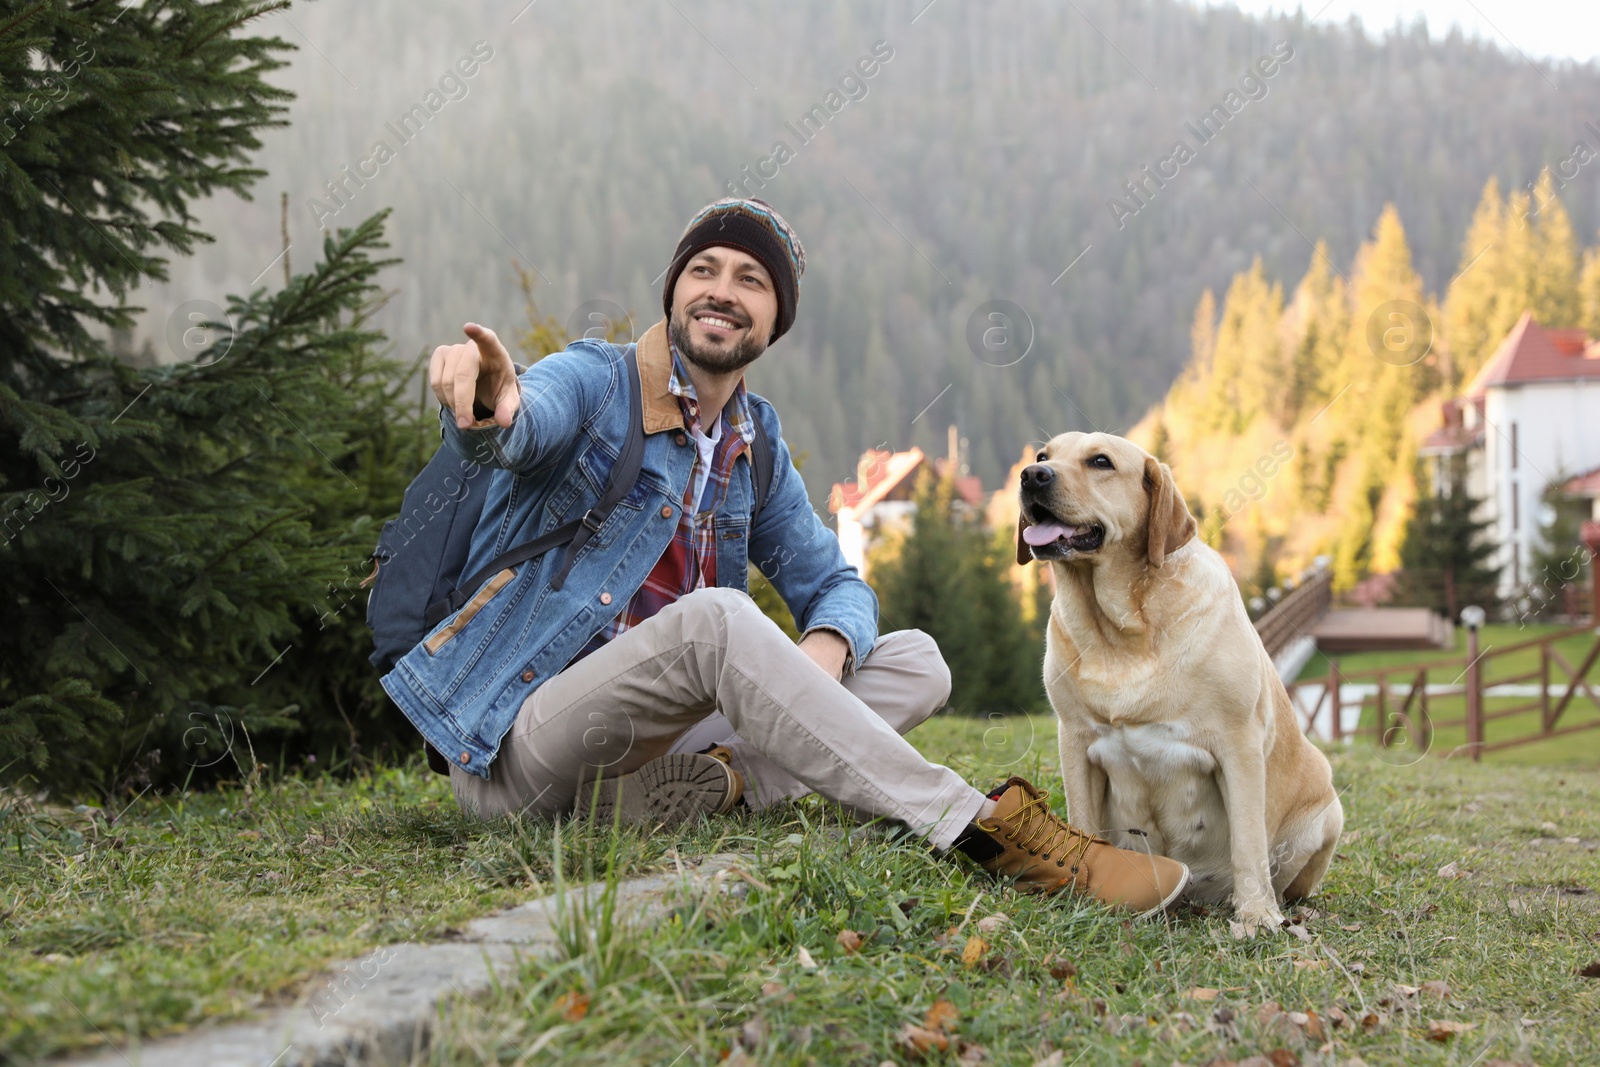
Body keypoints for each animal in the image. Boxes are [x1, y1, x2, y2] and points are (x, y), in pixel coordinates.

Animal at [1017, 428, 1344, 927]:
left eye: (1100, 461)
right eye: (1042, 455)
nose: (1032, 475)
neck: (1122, 630)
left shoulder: (1239, 744)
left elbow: (1248, 842)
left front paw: (1256, 916)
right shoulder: (1074, 740)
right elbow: (1082, 822)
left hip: (1327, 809)